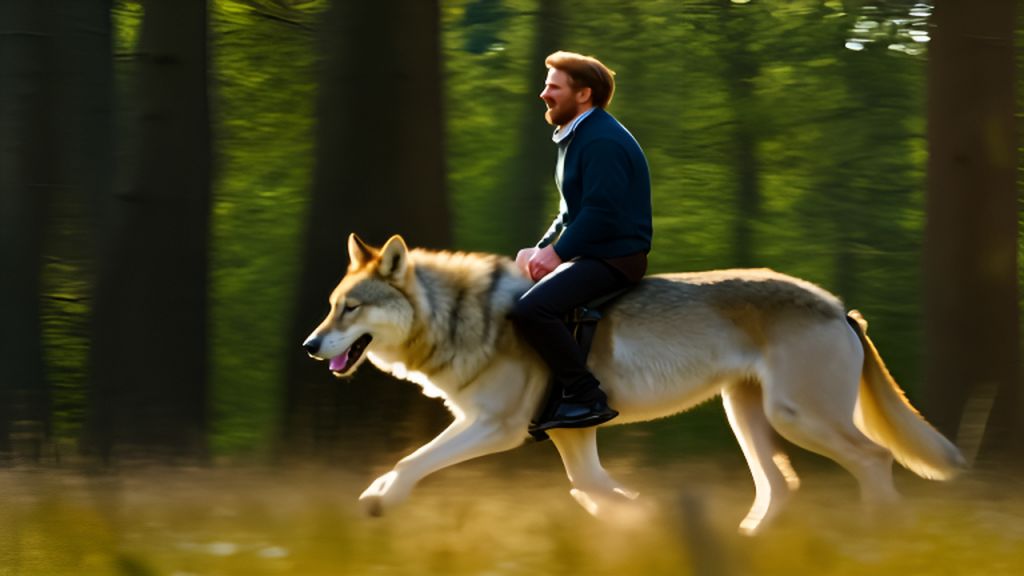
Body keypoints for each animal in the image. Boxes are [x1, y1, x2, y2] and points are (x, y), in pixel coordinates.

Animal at [302, 233, 965, 534]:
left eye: (351, 309)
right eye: (332, 307)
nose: (309, 346)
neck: (463, 318)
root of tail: (842, 309)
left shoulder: (495, 427)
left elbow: (412, 461)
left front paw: (379, 500)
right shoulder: (569, 435)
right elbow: (591, 488)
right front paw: (639, 517)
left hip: (796, 417)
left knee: (874, 459)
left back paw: (878, 538)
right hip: (749, 417)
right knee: (782, 486)